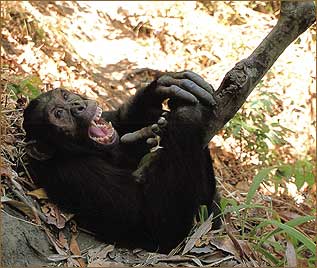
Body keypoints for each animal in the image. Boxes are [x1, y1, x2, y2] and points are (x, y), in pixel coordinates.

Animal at [22, 70, 220, 253]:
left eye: (65, 95)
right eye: (59, 114)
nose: (77, 106)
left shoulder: (112, 122)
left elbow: (121, 119)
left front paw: (160, 87)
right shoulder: (79, 174)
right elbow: (157, 226)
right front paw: (186, 114)